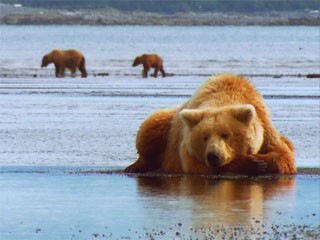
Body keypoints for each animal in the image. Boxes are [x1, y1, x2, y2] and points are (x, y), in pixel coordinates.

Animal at [125, 73, 298, 174]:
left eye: (226, 135)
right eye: (204, 137)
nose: (213, 156)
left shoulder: (265, 125)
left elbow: (283, 156)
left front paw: (260, 161)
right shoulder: (186, 147)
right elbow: (196, 166)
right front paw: (249, 163)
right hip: (166, 125)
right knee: (150, 128)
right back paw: (136, 166)